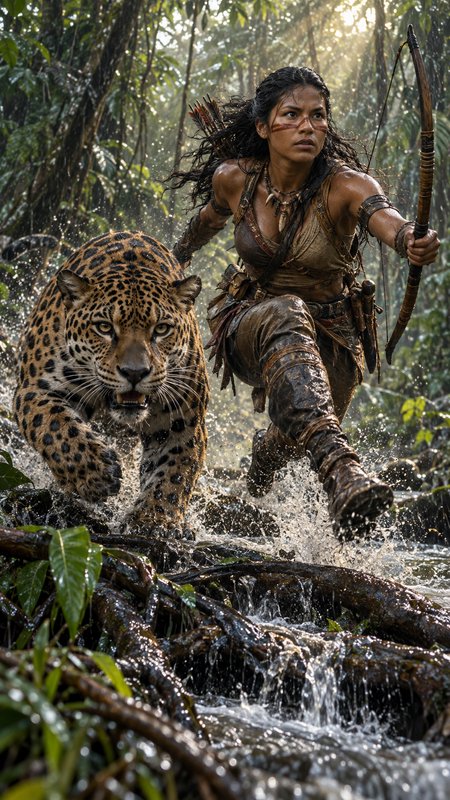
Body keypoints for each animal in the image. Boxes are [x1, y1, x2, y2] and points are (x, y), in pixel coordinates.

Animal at [13, 230, 209, 535]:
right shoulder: (35, 390)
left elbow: (175, 470)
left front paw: (154, 521)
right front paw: (96, 474)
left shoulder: (183, 419)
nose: (134, 373)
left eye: (161, 329)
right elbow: (56, 428)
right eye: (104, 327)